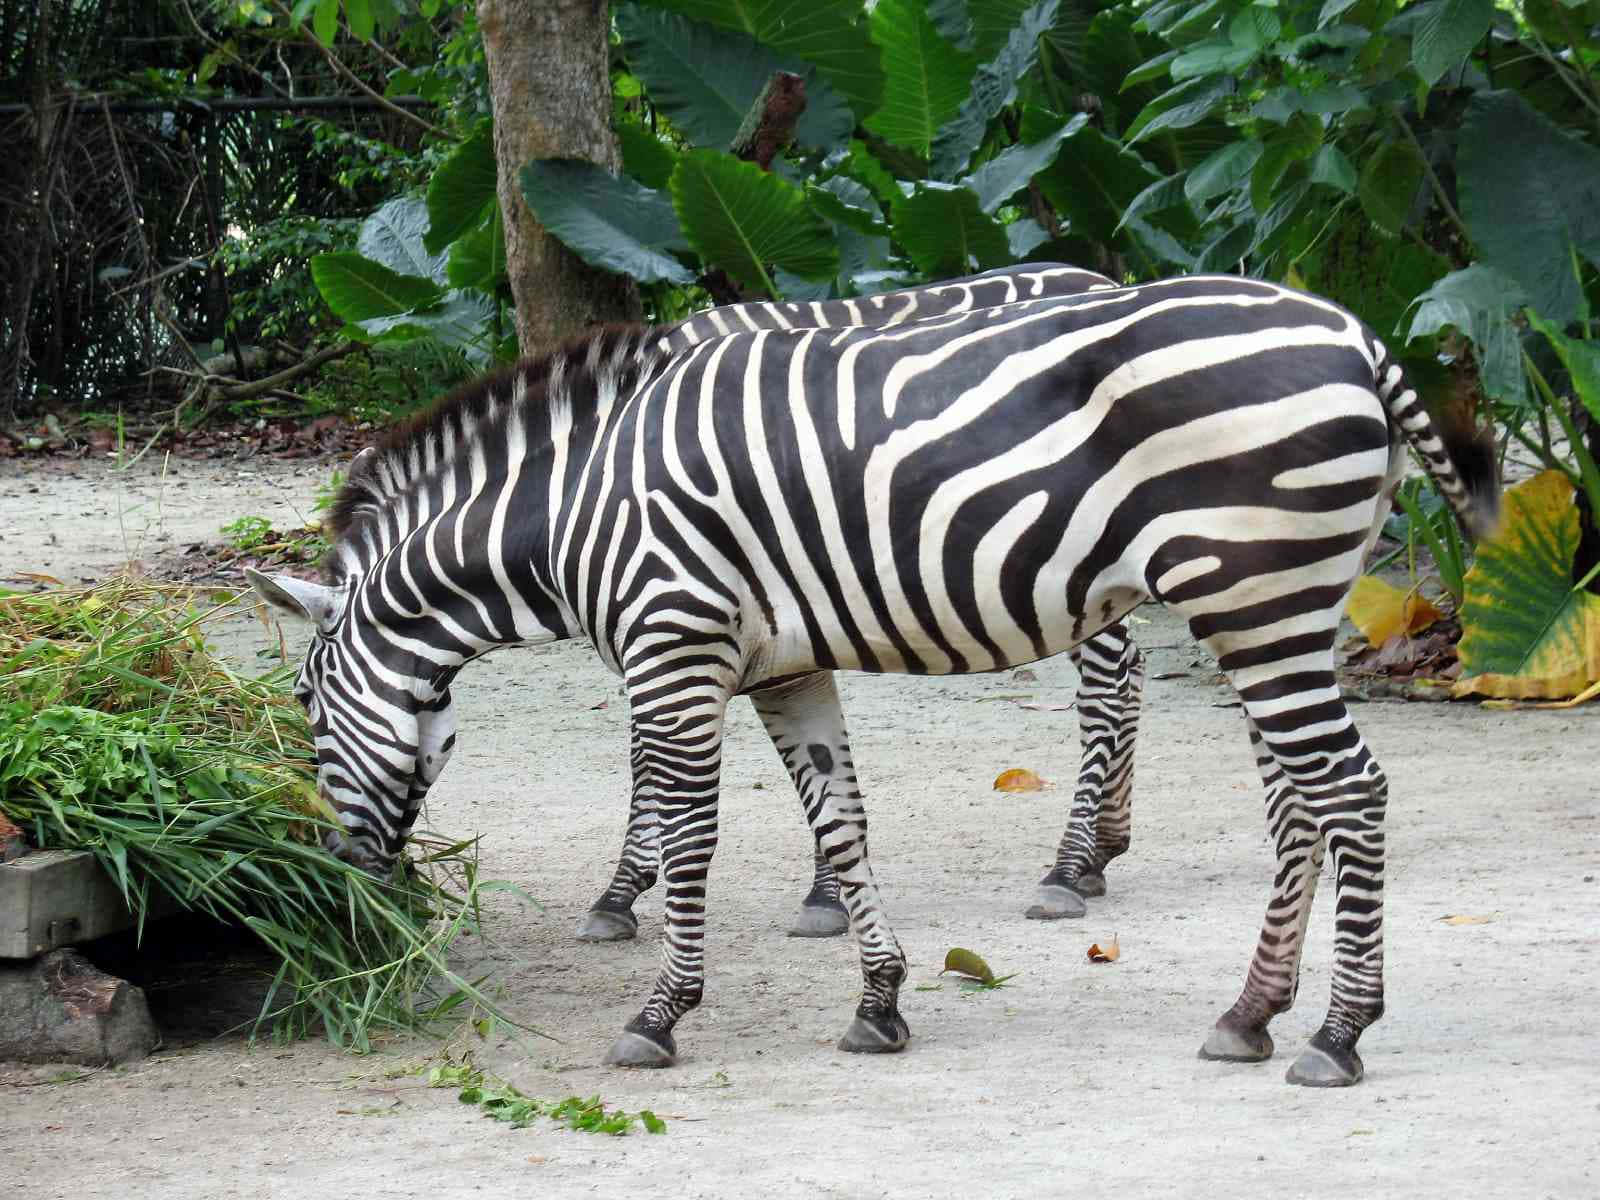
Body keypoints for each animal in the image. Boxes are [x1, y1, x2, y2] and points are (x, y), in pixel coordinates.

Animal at [582, 259, 1132, 947]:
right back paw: (1102, 852)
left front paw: (623, 891)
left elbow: (652, 753)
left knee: (1107, 686)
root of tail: (1093, 276)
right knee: (1130, 671)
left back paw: (1067, 869)